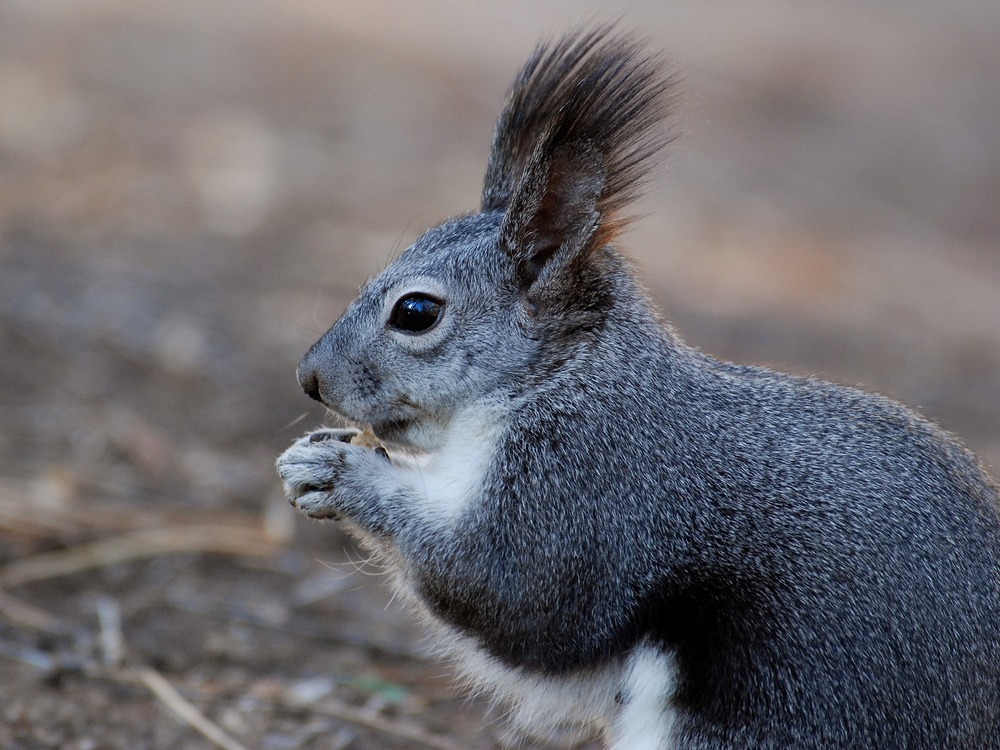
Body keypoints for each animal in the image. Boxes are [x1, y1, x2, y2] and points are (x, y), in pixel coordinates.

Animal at [277, 25, 1000, 749]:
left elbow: (511, 590)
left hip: (777, 707)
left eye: (416, 312)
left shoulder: (591, 491)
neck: (561, 380)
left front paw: (341, 474)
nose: (310, 377)